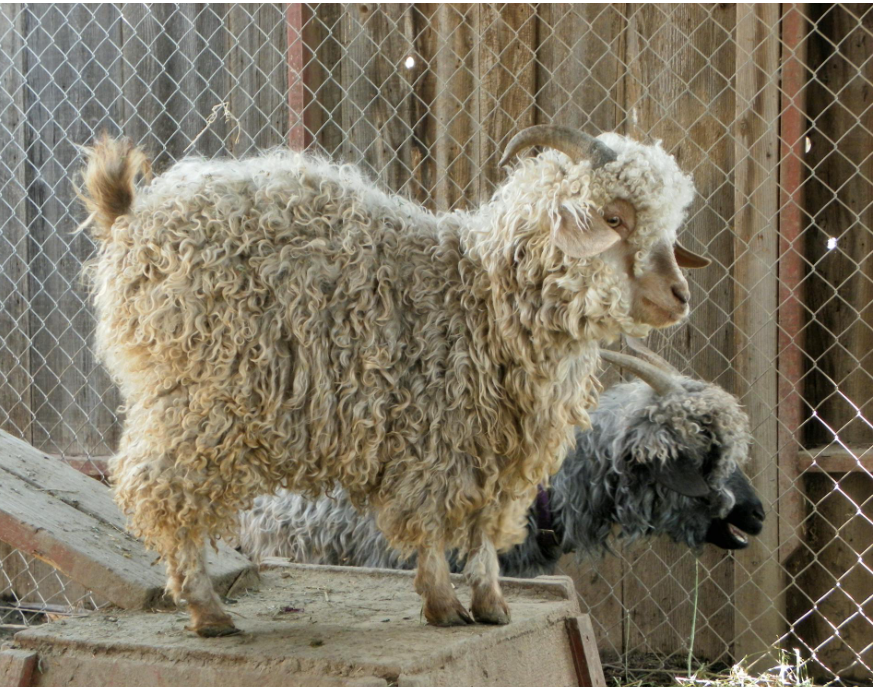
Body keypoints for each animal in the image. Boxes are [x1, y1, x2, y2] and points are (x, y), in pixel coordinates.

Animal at [78, 126, 709, 635]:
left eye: (669, 225)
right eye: (614, 219)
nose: (680, 296)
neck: (481, 295)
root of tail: (131, 216)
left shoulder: (495, 446)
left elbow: (484, 528)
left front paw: (491, 605)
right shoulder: (431, 434)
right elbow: (430, 522)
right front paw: (443, 606)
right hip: (196, 396)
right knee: (159, 487)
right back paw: (207, 610)